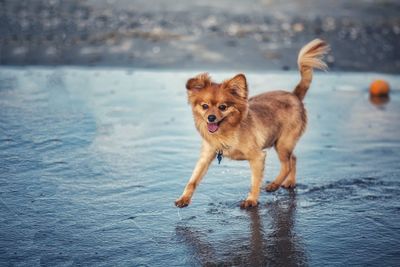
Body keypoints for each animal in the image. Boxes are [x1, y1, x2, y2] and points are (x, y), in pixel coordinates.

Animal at [174, 38, 328, 209]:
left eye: (223, 107)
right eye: (205, 106)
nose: (211, 118)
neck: (228, 130)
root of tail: (295, 95)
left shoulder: (257, 157)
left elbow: (255, 182)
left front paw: (251, 200)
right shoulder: (206, 157)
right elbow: (193, 180)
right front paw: (184, 198)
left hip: (283, 143)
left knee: (287, 164)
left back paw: (274, 185)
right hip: (281, 143)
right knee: (293, 159)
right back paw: (289, 182)